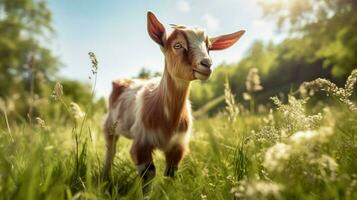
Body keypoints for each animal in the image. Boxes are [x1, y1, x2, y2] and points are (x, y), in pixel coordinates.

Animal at [101, 11, 243, 194]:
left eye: (209, 47)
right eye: (177, 45)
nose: (207, 64)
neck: (167, 119)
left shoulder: (177, 146)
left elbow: (170, 174)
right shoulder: (142, 143)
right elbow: (148, 174)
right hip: (109, 126)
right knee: (110, 150)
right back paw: (105, 179)